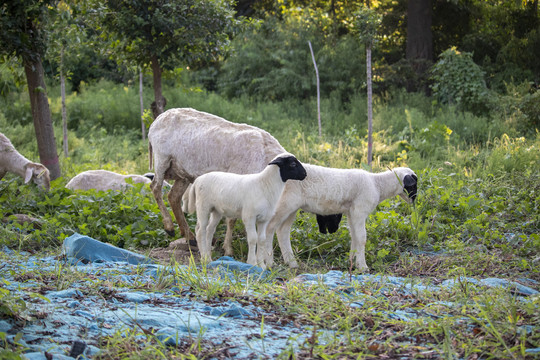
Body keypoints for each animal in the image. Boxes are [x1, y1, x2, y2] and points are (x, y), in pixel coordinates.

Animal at [266, 165, 418, 272]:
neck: (378, 184)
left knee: (282, 231)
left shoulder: (351, 213)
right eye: (413, 184)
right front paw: (363, 267)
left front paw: (352, 262)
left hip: (292, 208)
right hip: (284, 204)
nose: (414, 201)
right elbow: (362, 238)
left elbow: (354, 237)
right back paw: (269, 262)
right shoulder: (359, 210)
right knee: (269, 227)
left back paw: (292, 263)